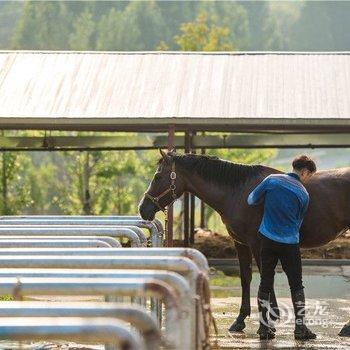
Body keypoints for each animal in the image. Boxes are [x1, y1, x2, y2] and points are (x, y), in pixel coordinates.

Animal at [139, 150, 350, 336]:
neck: (238, 192)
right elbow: (246, 277)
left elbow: (265, 277)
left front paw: (270, 319)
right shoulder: (241, 243)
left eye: (157, 176)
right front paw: (240, 320)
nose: (143, 209)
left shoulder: (258, 244)